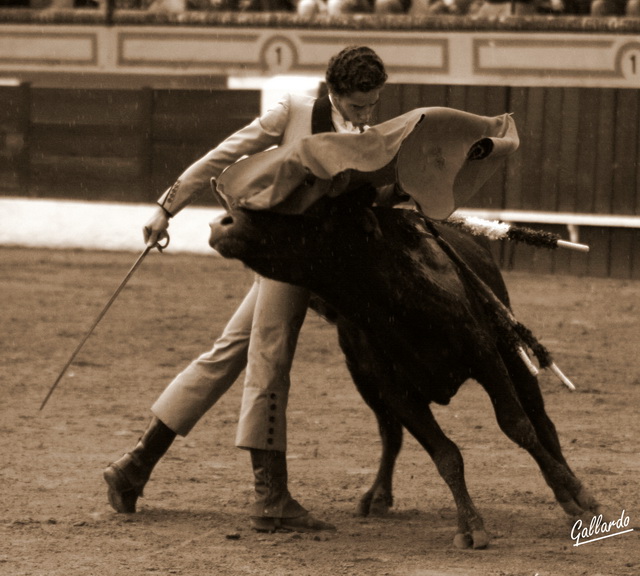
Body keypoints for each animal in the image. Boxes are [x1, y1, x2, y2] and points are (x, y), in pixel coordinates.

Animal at [210, 196, 604, 552]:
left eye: (308, 208)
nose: (221, 223)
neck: (394, 302)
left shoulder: (487, 357)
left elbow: (519, 427)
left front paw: (577, 495)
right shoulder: (393, 390)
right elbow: (445, 454)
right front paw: (470, 527)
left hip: (514, 357)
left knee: (543, 424)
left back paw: (573, 495)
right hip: (364, 382)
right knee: (391, 436)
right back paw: (377, 496)